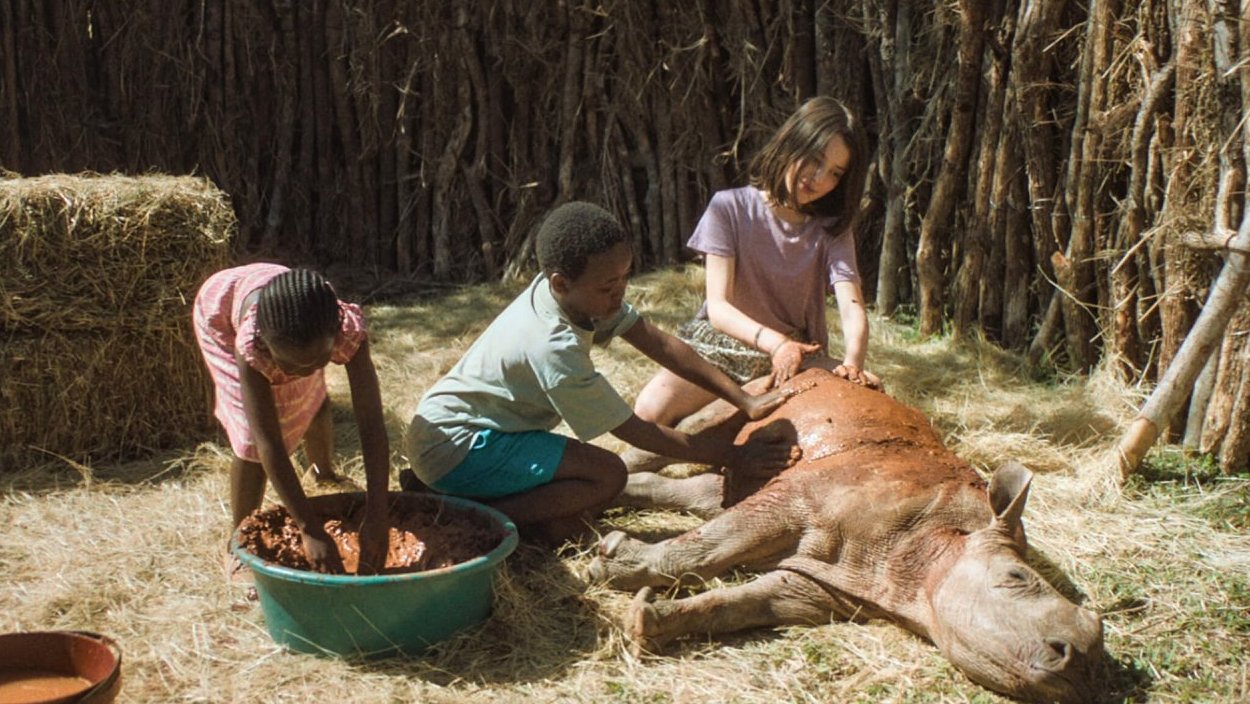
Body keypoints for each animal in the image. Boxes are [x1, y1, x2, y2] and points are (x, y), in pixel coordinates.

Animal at [595, 370, 1105, 704]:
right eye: (1016, 577)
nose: (1083, 661)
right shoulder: (802, 497)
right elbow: (712, 545)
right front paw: (612, 564)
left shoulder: (831, 587)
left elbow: (748, 602)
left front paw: (645, 621)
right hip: (762, 388)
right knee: (692, 435)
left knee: (711, 494)